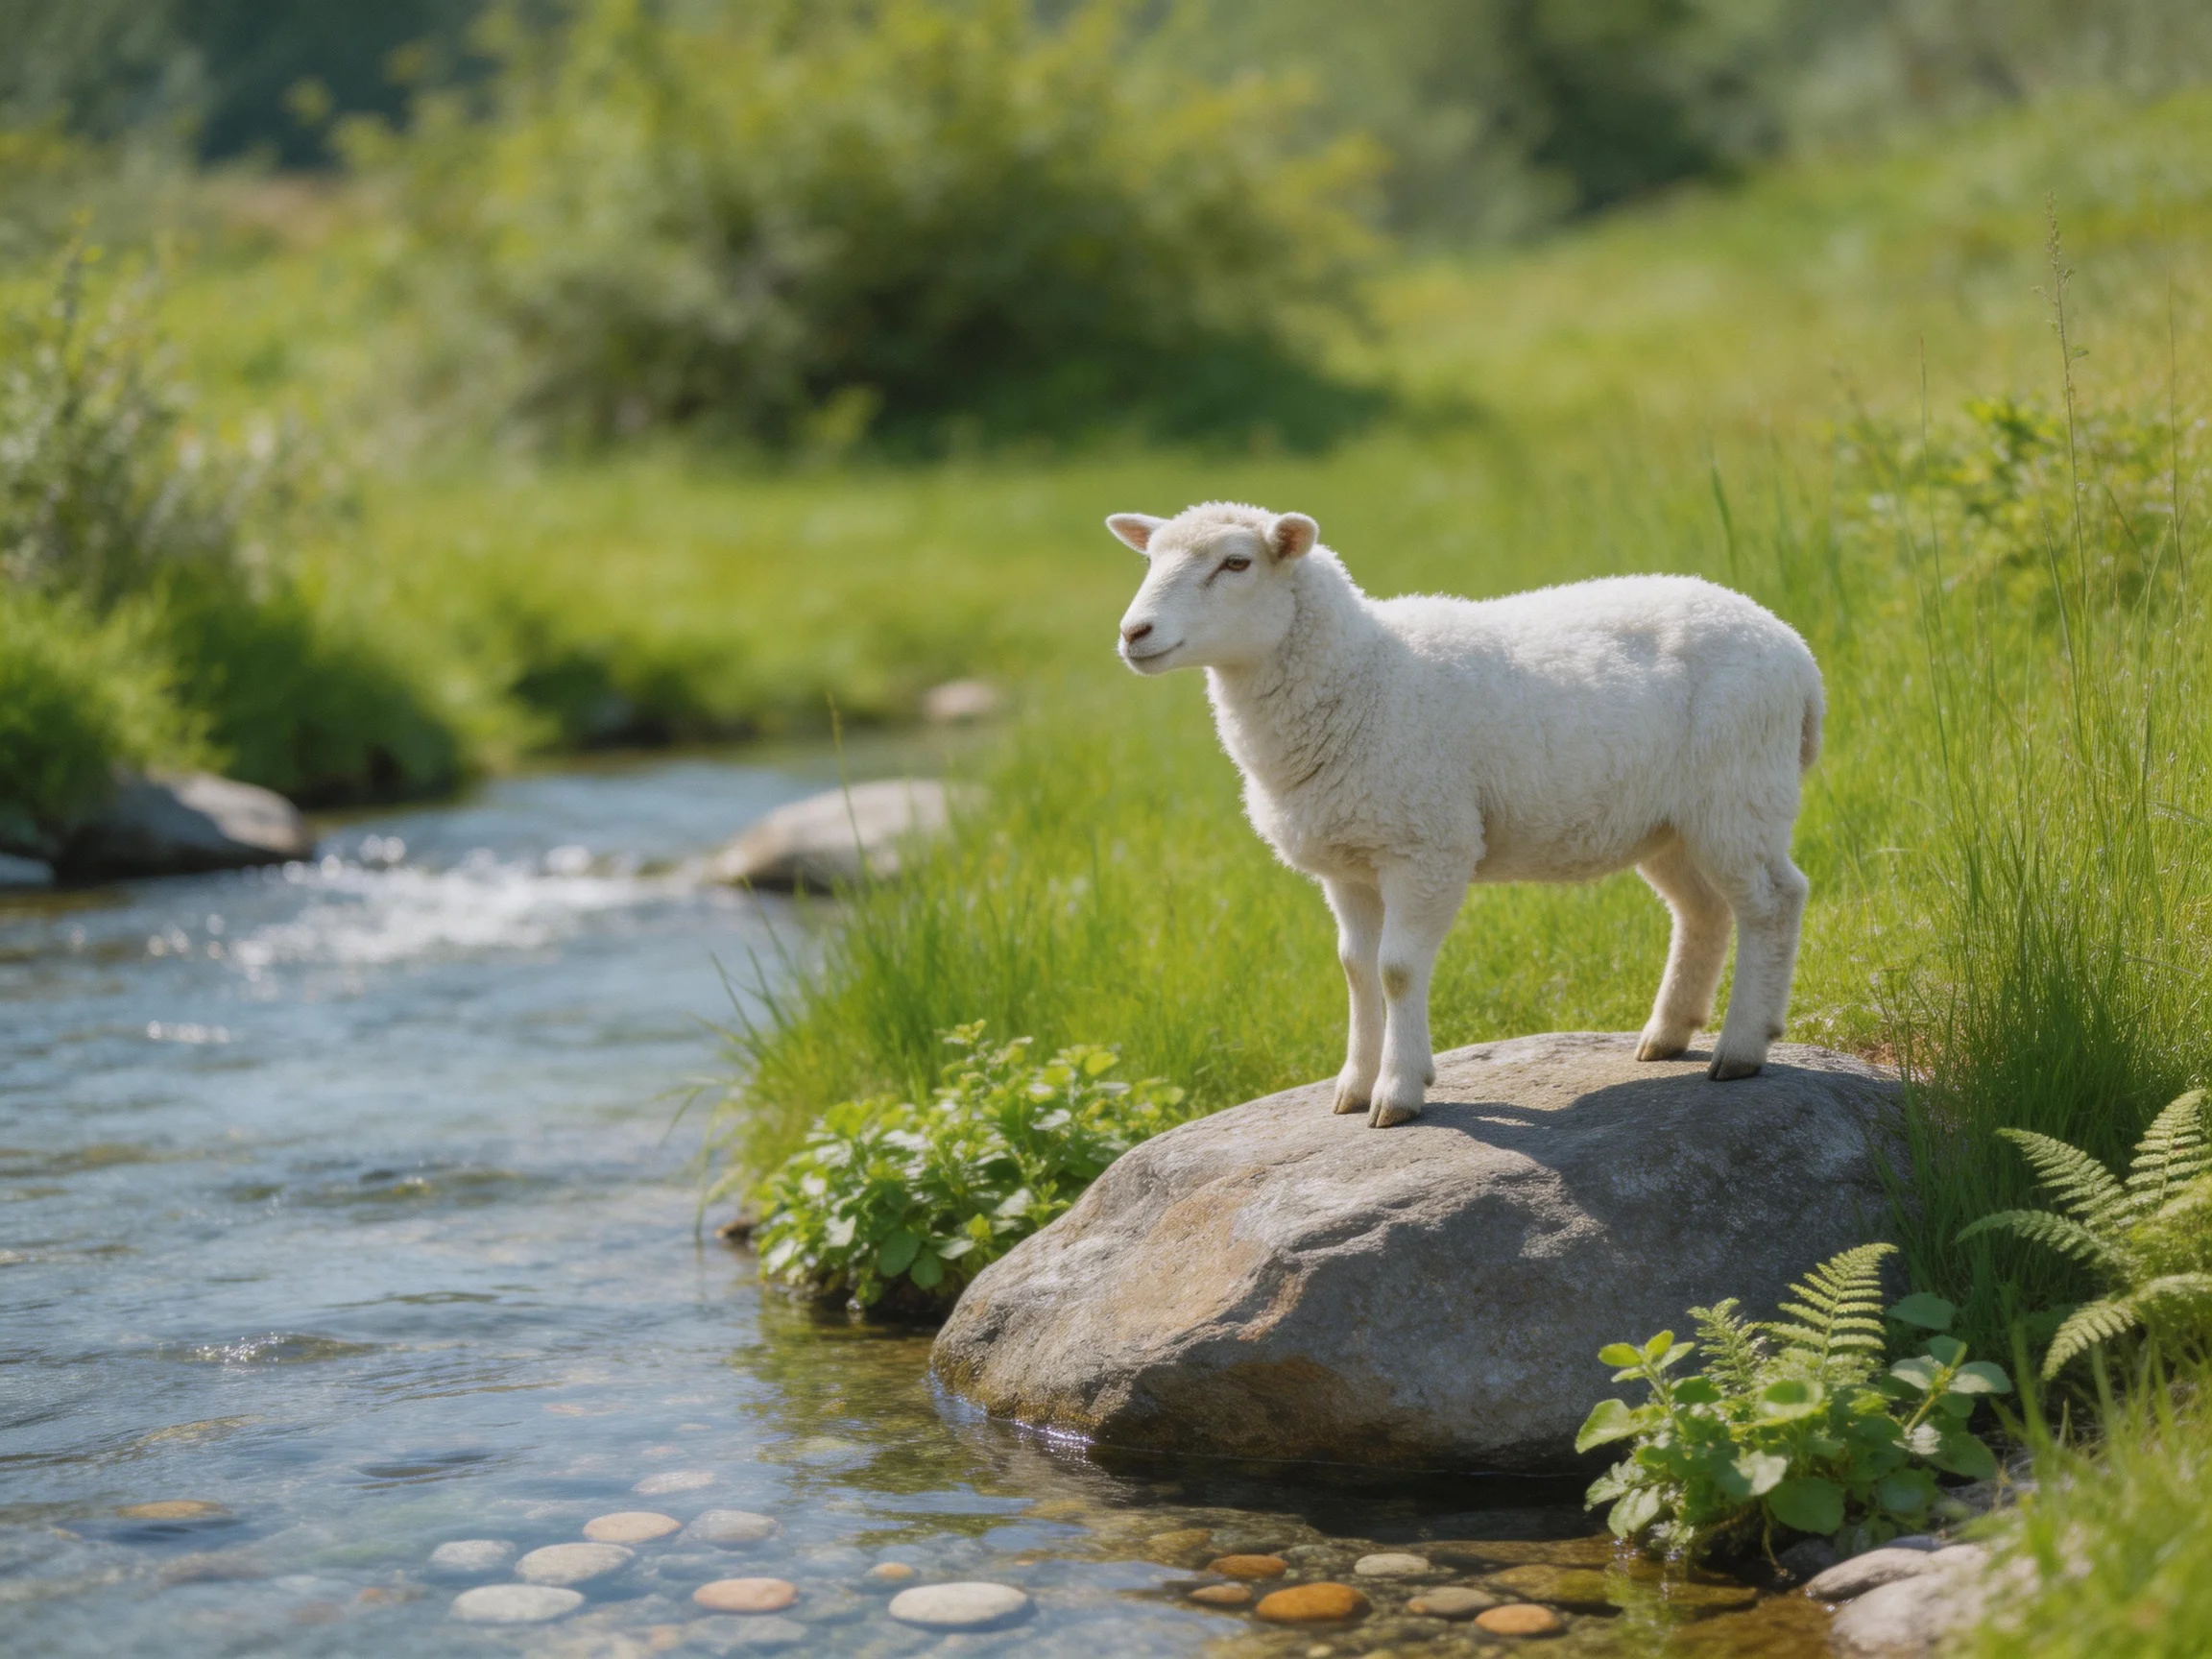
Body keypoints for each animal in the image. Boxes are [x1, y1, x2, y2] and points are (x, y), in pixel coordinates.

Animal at [1107, 501, 1824, 1126]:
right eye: (1150, 559)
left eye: (1235, 563)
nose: (1132, 633)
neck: (1364, 675)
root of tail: (1795, 649)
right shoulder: (1348, 862)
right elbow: (1356, 970)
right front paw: (1353, 1086)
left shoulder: (1427, 846)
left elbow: (1396, 970)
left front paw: (1397, 1093)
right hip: (1670, 823)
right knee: (1702, 911)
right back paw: (1668, 1034)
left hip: (1738, 793)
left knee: (1773, 902)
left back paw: (1742, 1047)